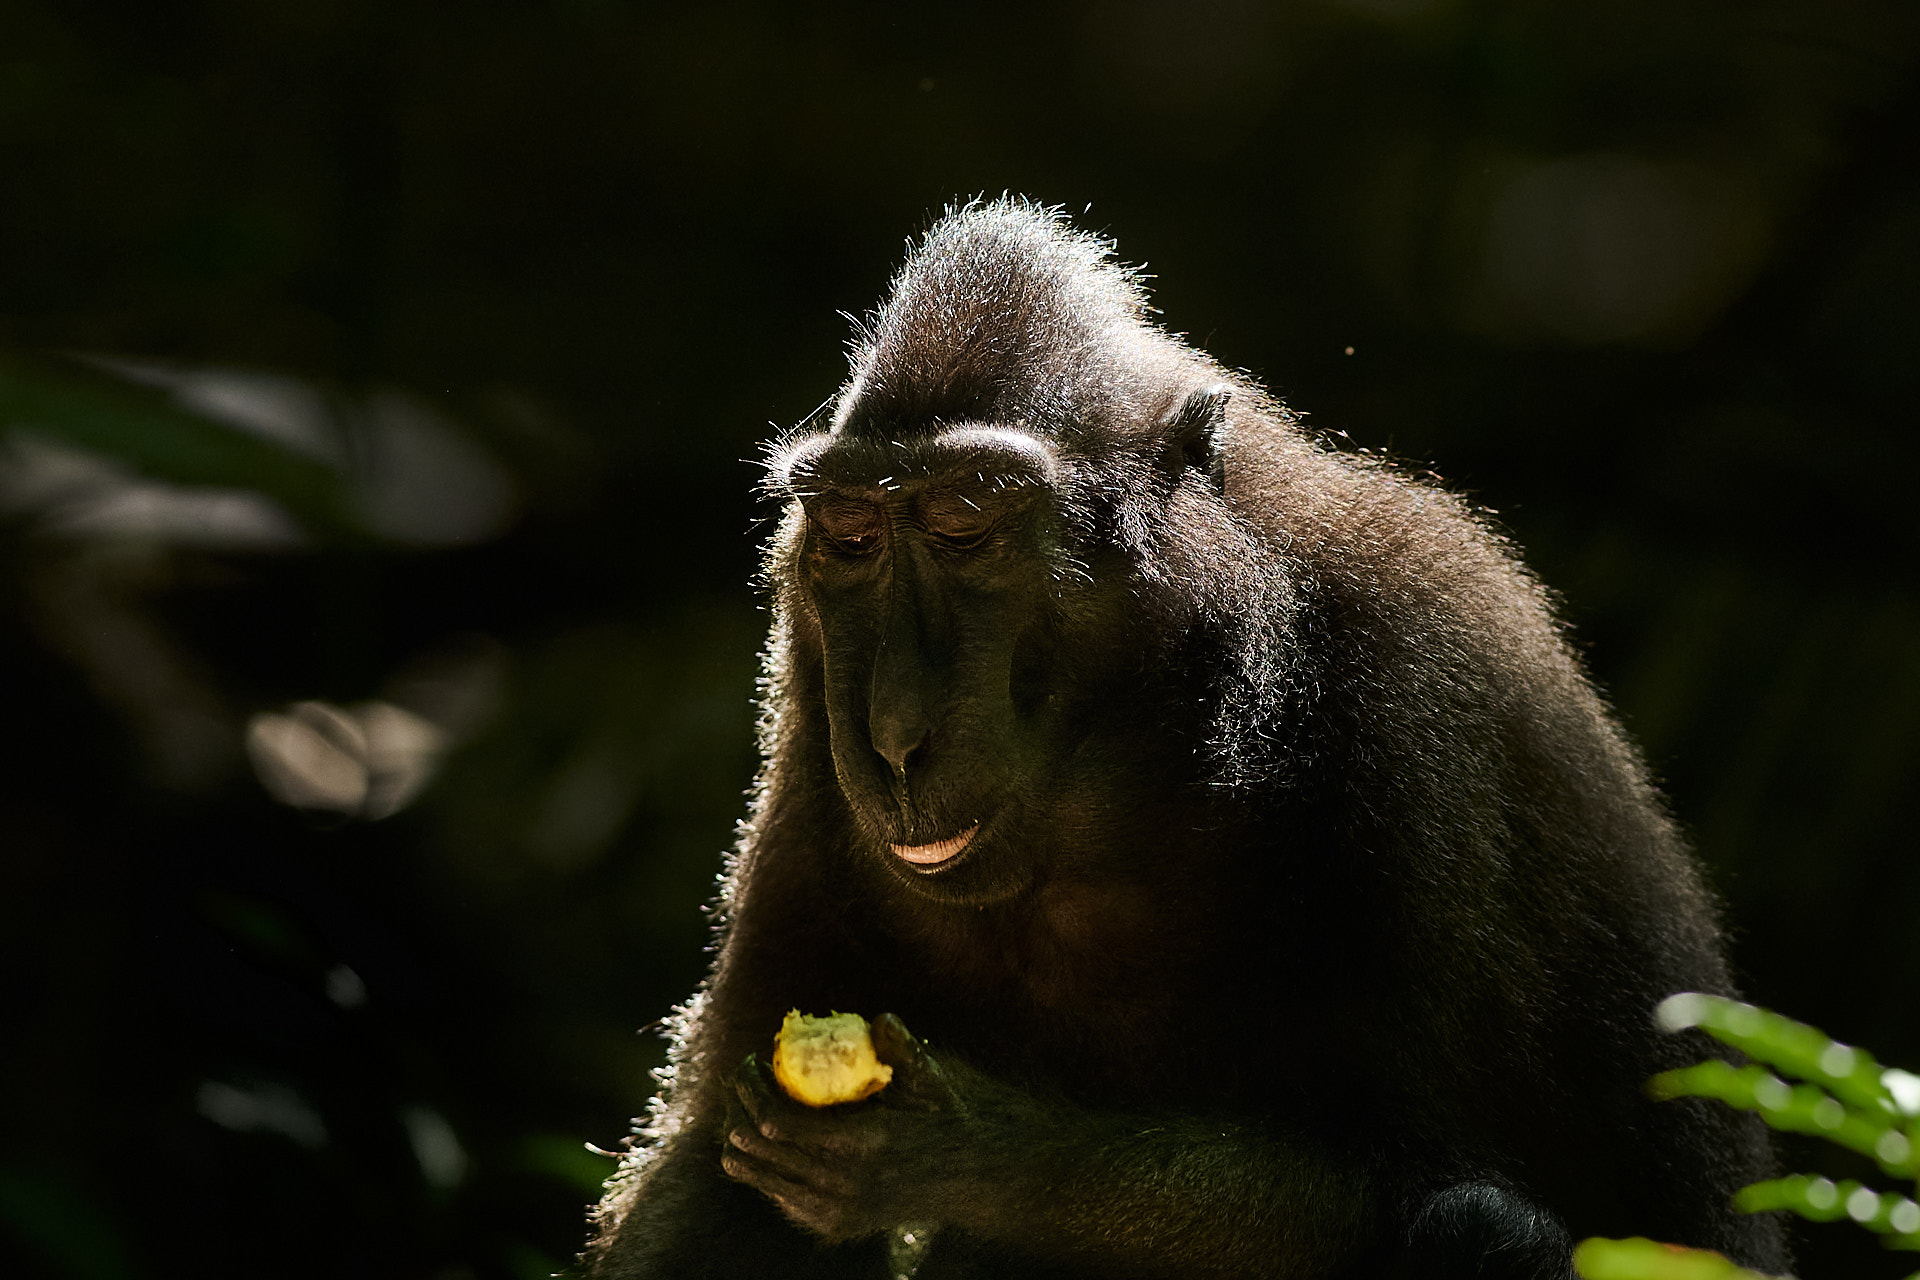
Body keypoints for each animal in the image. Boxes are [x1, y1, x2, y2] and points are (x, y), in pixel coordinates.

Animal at [582, 199, 1789, 1279]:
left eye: (966, 523)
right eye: (848, 535)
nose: (892, 733)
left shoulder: (1418, 681)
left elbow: (1426, 1163)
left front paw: (962, 1152)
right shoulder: (806, 705)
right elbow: (717, 1182)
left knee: (1480, 1224)